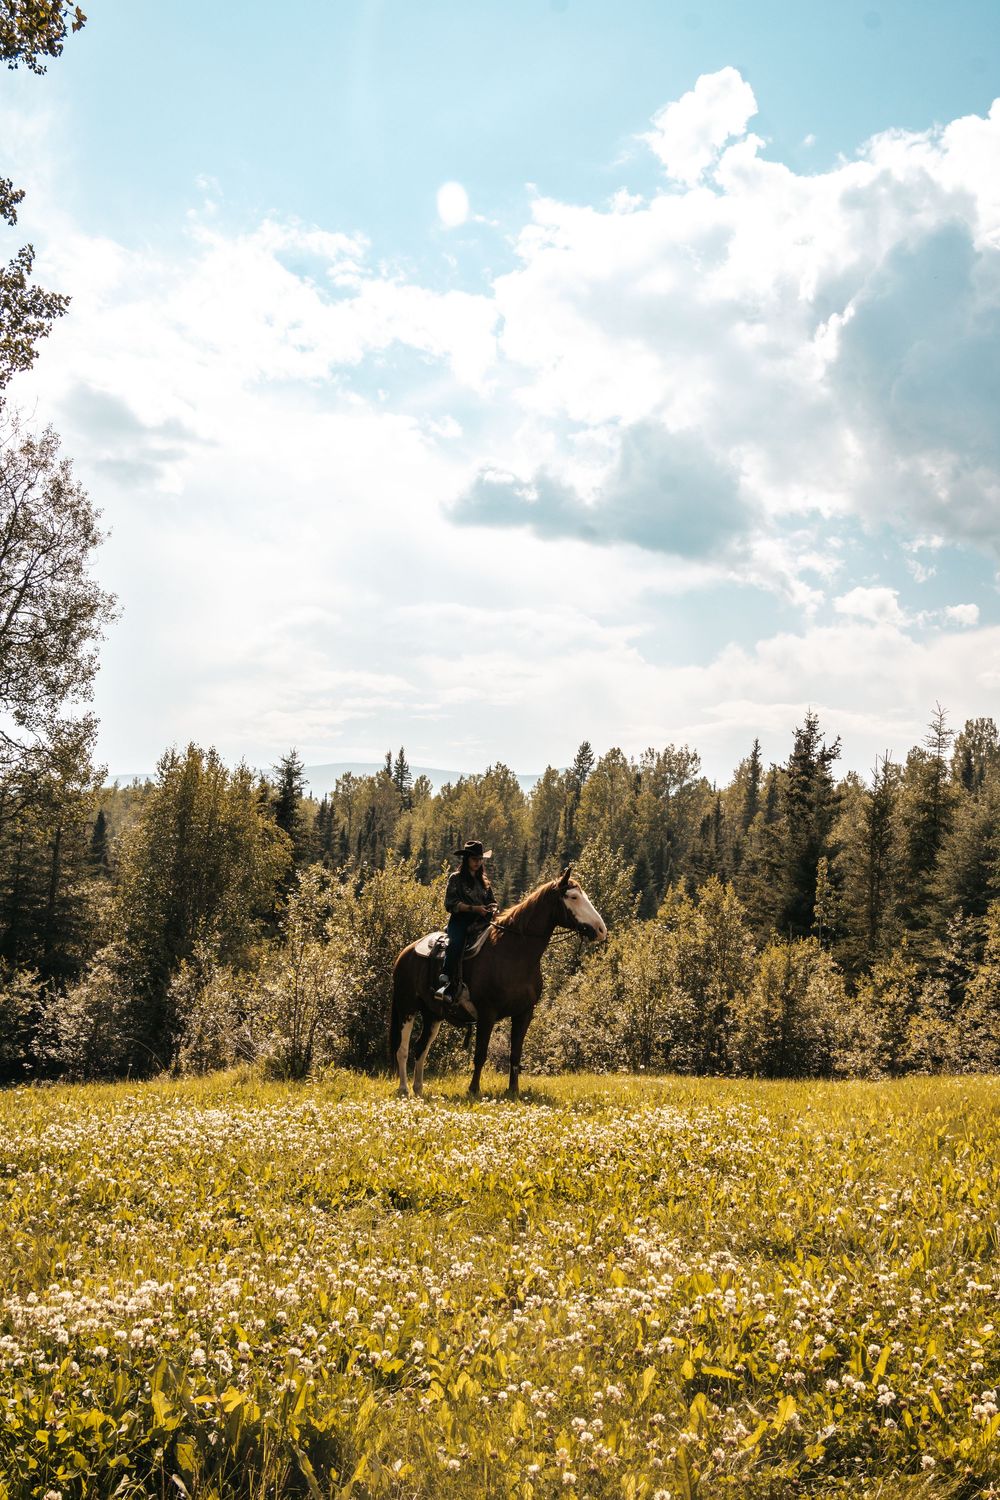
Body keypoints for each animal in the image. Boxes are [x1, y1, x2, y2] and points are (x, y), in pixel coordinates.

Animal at [389, 867, 608, 1098]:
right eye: (573, 897)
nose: (601, 930)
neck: (513, 954)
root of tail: (405, 954)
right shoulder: (487, 1013)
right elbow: (480, 1054)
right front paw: (473, 1089)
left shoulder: (524, 1013)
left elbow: (515, 1054)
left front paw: (513, 1090)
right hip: (407, 1008)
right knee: (403, 1049)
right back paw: (404, 1088)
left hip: (433, 1014)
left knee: (421, 1048)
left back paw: (418, 1089)